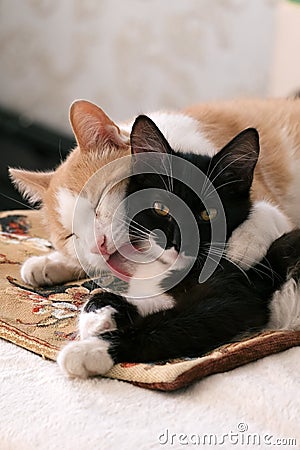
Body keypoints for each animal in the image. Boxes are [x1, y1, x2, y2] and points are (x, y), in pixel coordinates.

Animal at [9, 97, 298, 290]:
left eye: (99, 201)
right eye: (70, 236)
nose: (98, 246)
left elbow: (266, 211)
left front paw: (242, 246)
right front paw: (50, 262)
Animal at [57, 115, 298, 376]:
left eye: (208, 214)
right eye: (161, 208)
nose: (177, 242)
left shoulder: (239, 296)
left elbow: (169, 325)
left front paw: (92, 349)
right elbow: (135, 297)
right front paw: (99, 314)